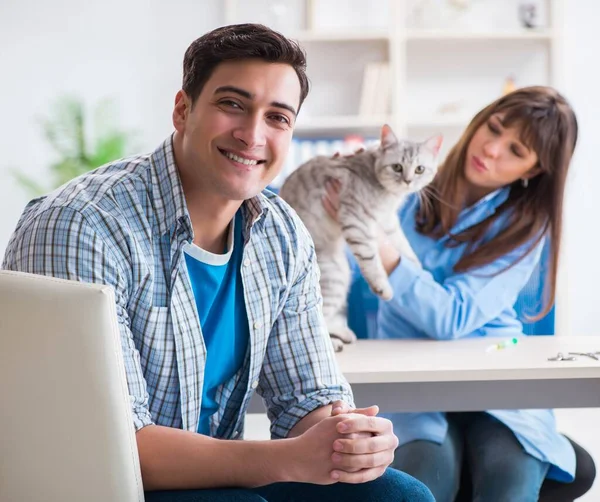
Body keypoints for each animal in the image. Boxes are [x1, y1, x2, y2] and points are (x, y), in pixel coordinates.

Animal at [278, 125, 440, 352]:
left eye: (419, 169)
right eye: (397, 167)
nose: (407, 181)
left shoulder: (388, 222)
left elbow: (402, 244)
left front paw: (415, 264)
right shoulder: (356, 221)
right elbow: (372, 260)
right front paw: (383, 287)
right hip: (332, 277)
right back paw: (335, 342)